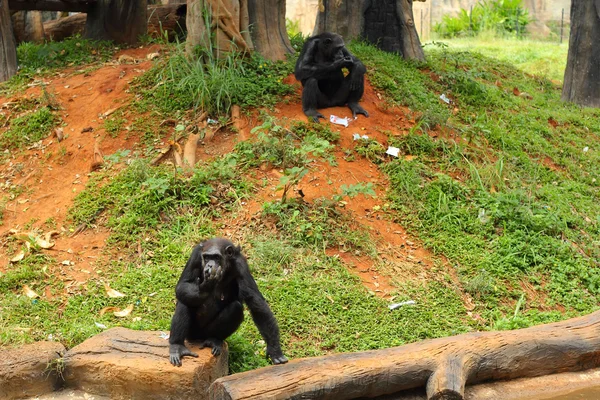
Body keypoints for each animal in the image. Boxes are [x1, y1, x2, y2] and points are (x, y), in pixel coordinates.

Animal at [166, 238, 288, 366]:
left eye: (216, 257)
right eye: (206, 257)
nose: (210, 264)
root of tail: (199, 338)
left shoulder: (241, 265)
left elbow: (256, 303)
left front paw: (275, 350)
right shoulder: (195, 256)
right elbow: (184, 284)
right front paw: (206, 287)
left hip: (207, 333)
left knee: (236, 308)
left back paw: (214, 340)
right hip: (191, 334)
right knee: (185, 301)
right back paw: (177, 346)